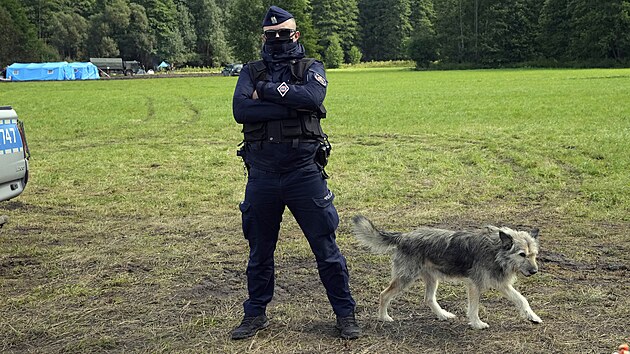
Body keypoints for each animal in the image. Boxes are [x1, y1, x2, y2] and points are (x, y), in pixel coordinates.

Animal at [354, 214, 544, 330]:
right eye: (522, 254)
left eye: (534, 254)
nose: (535, 271)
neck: (496, 250)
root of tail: (404, 236)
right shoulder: (474, 285)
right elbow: (474, 308)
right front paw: (477, 323)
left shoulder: (502, 284)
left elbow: (522, 300)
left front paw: (533, 317)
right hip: (405, 279)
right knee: (384, 294)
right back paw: (383, 317)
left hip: (432, 280)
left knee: (428, 299)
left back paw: (442, 315)